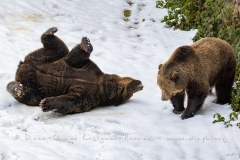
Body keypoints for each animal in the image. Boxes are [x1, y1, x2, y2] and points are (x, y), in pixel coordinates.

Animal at [6, 27, 143, 114]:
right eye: (132, 84)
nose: (141, 84)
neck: (102, 85)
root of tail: (23, 65)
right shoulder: (89, 69)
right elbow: (76, 57)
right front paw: (86, 43)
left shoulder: (89, 96)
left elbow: (71, 100)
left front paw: (45, 103)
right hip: (44, 59)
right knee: (59, 48)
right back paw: (51, 31)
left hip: (37, 88)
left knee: (29, 94)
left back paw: (16, 87)